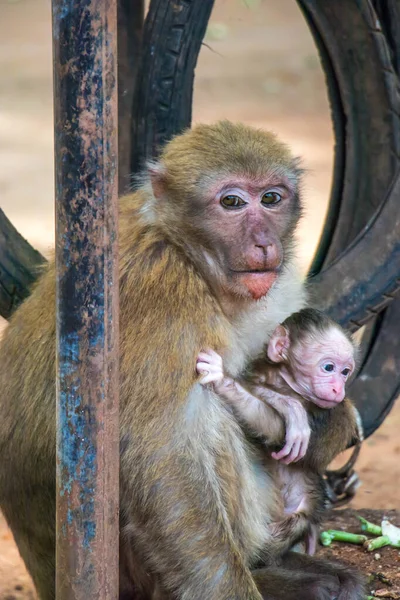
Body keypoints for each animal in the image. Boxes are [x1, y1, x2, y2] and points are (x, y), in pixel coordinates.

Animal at [0, 123, 366, 600]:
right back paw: (273, 574)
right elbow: (164, 458)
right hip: (134, 575)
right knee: (207, 420)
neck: (186, 250)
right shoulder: (165, 297)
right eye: (232, 202)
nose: (264, 243)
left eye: (271, 198)